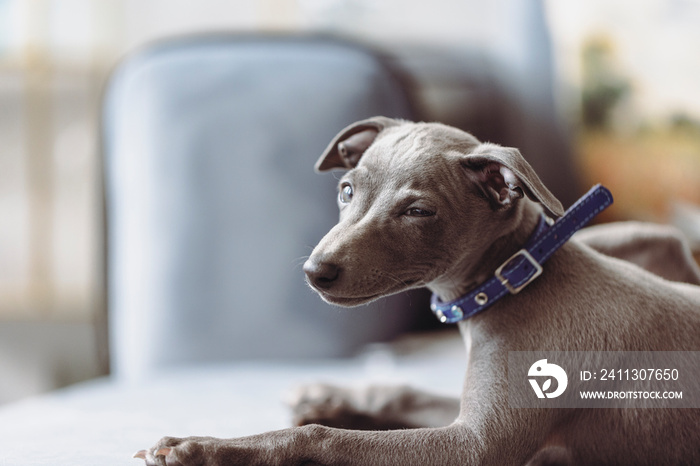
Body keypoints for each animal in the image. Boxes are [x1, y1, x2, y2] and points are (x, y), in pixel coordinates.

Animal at [137, 117, 700, 466]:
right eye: (346, 190)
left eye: (417, 211)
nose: (316, 272)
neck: (510, 280)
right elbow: (401, 391)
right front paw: (332, 401)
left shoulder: (473, 447)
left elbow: (323, 439)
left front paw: (202, 447)